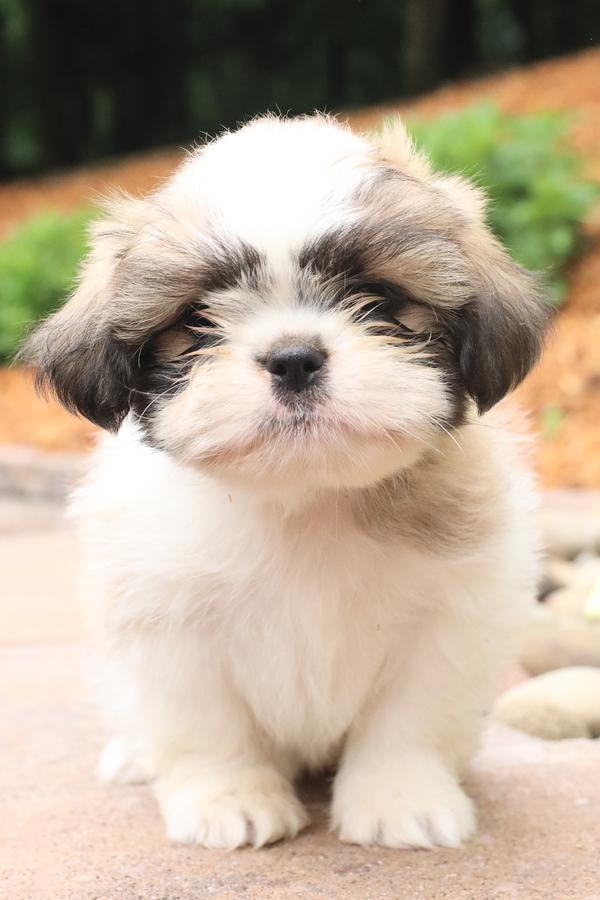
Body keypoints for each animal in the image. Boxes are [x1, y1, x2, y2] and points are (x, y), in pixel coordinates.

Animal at [22, 114, 548, 852]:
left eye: (379, 299)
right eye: (197, 319)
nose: (294, 358)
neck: (305, 497)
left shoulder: (450, 622)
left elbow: (411, 717)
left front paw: (400, 797)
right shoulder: (169, 625)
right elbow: (206, 725)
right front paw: (229, 798)